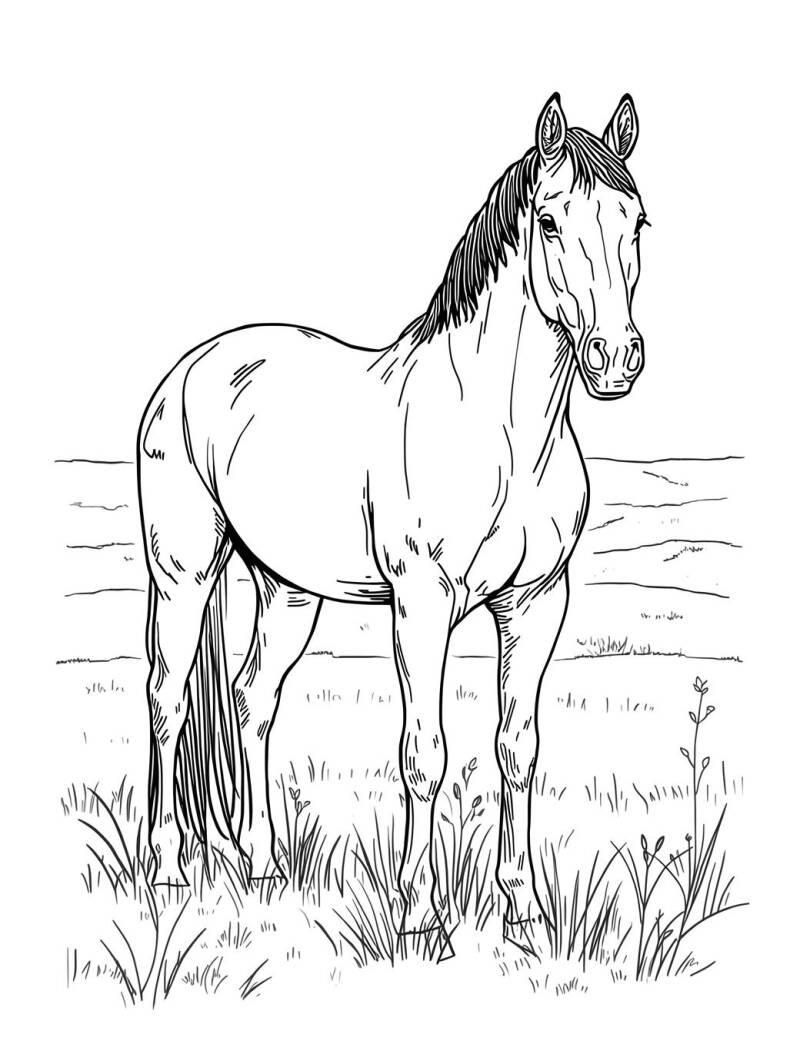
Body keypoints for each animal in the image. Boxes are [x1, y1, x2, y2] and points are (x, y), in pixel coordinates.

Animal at [138, 92, 647, 954]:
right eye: (549, 220)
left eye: (636, 222)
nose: (616, 357)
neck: (502, 432)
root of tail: (189, 370)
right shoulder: (422, 603)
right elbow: (424, 755)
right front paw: (418, 917)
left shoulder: (538, 602)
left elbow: (516, 748)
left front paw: (523, 912)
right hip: (183, 575)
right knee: (169, 698)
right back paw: (171, 870)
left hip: (287, 591)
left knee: (251, 700)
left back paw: (264, 864)